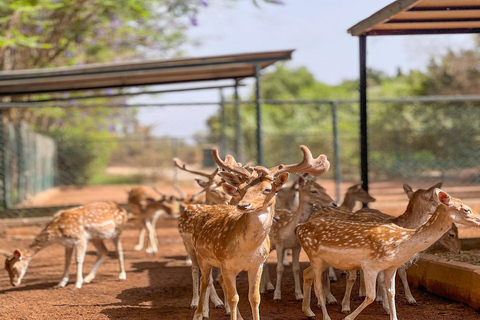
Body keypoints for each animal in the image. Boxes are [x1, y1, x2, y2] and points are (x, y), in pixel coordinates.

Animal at [180, 146, 330, 320]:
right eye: (242, 189)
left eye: (268, 189)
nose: (243, 205)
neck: (247, 249)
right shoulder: (227, 265)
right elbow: (233, 298)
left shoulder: (257, 265)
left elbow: (254, 297)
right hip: (201, 255)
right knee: (205, 280)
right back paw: (199, 313)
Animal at [298, 189, 480, 320]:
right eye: (466, 209)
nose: (479, 219)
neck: (402, 242)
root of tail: (299, 228)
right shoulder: (370, 266)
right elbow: (370, 296)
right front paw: (348, 317)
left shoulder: (391, 267)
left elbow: (391, 292)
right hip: (314, 255)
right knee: (318, 285)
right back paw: (325, 316)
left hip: (324, 261)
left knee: (307, 274)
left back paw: (308, 311)